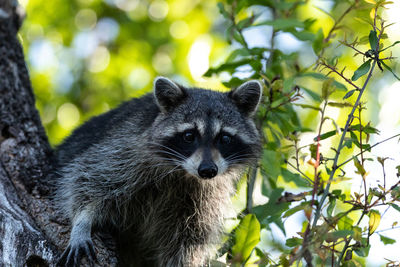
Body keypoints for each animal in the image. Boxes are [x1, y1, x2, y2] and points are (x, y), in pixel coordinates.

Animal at [55, 76, 262, 266]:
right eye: (189, 136)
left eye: (225, 138)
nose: (208, 170)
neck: (183, 173)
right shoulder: (127, 147)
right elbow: (89, 178)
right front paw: (82, 221)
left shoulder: (206, 196)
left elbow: (188, 239)